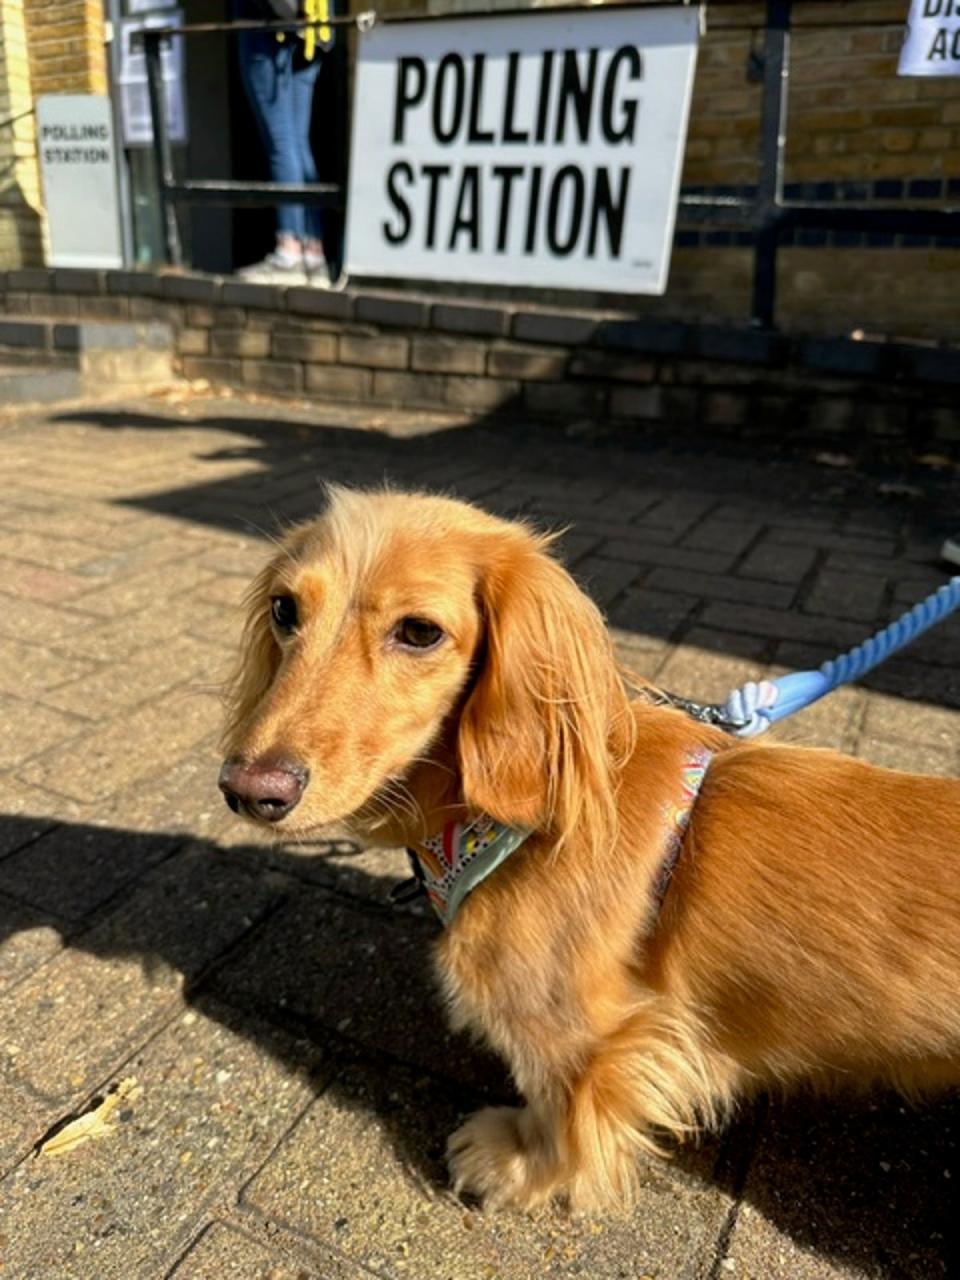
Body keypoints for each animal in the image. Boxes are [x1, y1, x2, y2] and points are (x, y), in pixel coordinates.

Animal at [217, 486, 960, 1208]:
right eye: (285, 609)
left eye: (420, 631)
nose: (250, 789)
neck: (509, 829)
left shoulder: (588, 1037)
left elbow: (562, 1112)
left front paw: (516, 1162)